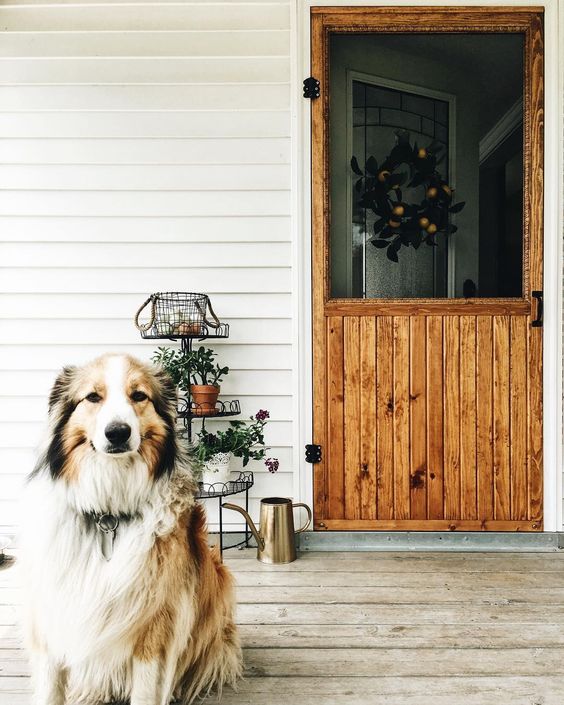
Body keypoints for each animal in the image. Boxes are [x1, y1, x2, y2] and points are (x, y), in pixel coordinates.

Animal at [19, 352, 242, 704]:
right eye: (92, 397)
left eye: (139, 396)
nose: (118, 433)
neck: (108, 514)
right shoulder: (52, 615)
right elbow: (50, 688)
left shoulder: (157, 628)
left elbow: (147, 690)